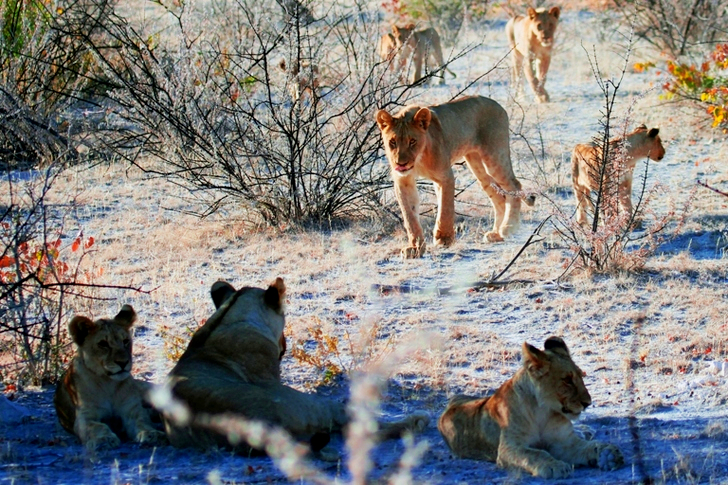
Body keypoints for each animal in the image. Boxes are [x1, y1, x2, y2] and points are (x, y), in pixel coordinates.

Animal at [54, 305, 166, 451]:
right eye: (103, 344)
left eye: (126, 341)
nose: (123, 362)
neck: (108, 383)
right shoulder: (84, 417)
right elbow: (98, 426)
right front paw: (104, 439)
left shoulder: (132, 410)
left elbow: (142, 421)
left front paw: (153, 434)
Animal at [162, 278, 429, 456]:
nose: (285, 344)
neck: (230, 316)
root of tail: (262, 432)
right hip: (317, 406)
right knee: (358, 427)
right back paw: (417, 421)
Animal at [375, 95, 535, 258]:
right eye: (393, 142)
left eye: (412, 141)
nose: (401, 163)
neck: (418, 159)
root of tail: (497, 104)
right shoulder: (403, 181)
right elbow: (410, 217)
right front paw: (415, 248)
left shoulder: (445, 176)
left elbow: (445, 209)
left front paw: (443, 239)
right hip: (477, 166)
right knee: (499, 197)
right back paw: (496, 234)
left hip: (494, 157)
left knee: (514, 185)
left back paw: (508, 227)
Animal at [438, 337, 624, 478]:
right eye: (567, 380)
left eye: (581, 375)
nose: (588, 403)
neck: (543, 411)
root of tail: (455, 399)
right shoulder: (508, 448)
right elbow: (535, 453)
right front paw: (554, 466)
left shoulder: (564, 442)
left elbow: (588, 446)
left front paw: (609, 454)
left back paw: (586, 431)